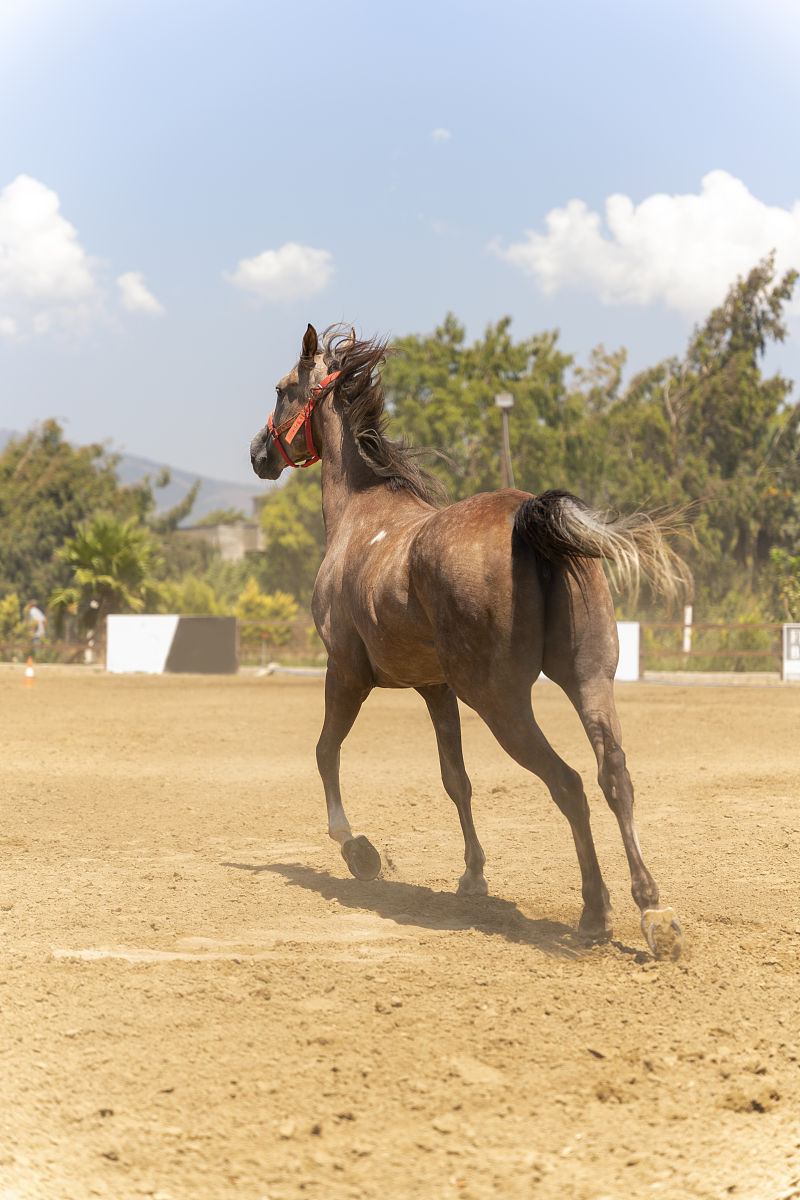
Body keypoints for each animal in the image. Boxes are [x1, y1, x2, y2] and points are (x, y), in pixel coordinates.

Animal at [250, 324, 692, 960]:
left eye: (284, 389)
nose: (258, 452)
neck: (362, 517)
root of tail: (526, 517)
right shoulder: (436, 690)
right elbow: (455, 779)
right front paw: (473, 874)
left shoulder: (346, 674)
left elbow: (325, 751)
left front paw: (358, 850)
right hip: (588, 679)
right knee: (614, 777)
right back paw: (654, 911)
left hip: (501, 702)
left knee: (569, 783)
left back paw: (595, 913)